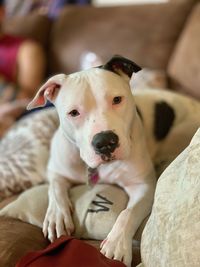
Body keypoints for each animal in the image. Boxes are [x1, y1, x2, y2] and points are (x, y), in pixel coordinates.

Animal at [27, 55, 200, 266]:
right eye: (73, 113)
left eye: (117, 99)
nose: (105, 142)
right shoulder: (56, 170)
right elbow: (55, 189)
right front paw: (56, 217)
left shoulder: (143, 186)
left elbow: (128, 213)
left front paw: (117, 243)